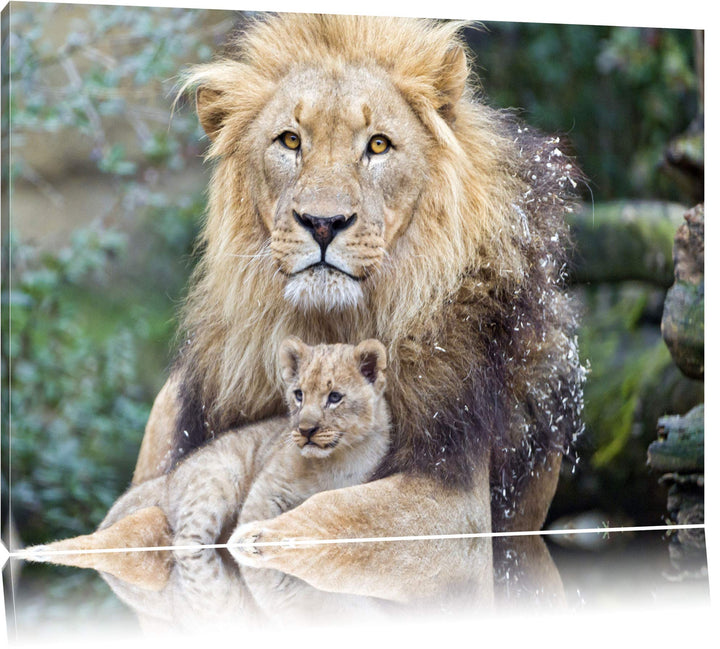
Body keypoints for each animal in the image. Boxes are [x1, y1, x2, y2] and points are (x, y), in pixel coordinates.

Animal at [129, 13, 584, 566]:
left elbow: (329, 517)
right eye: (289, 141)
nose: (323, 223)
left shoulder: (456, 495)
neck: (331, 323)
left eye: (378, 145)